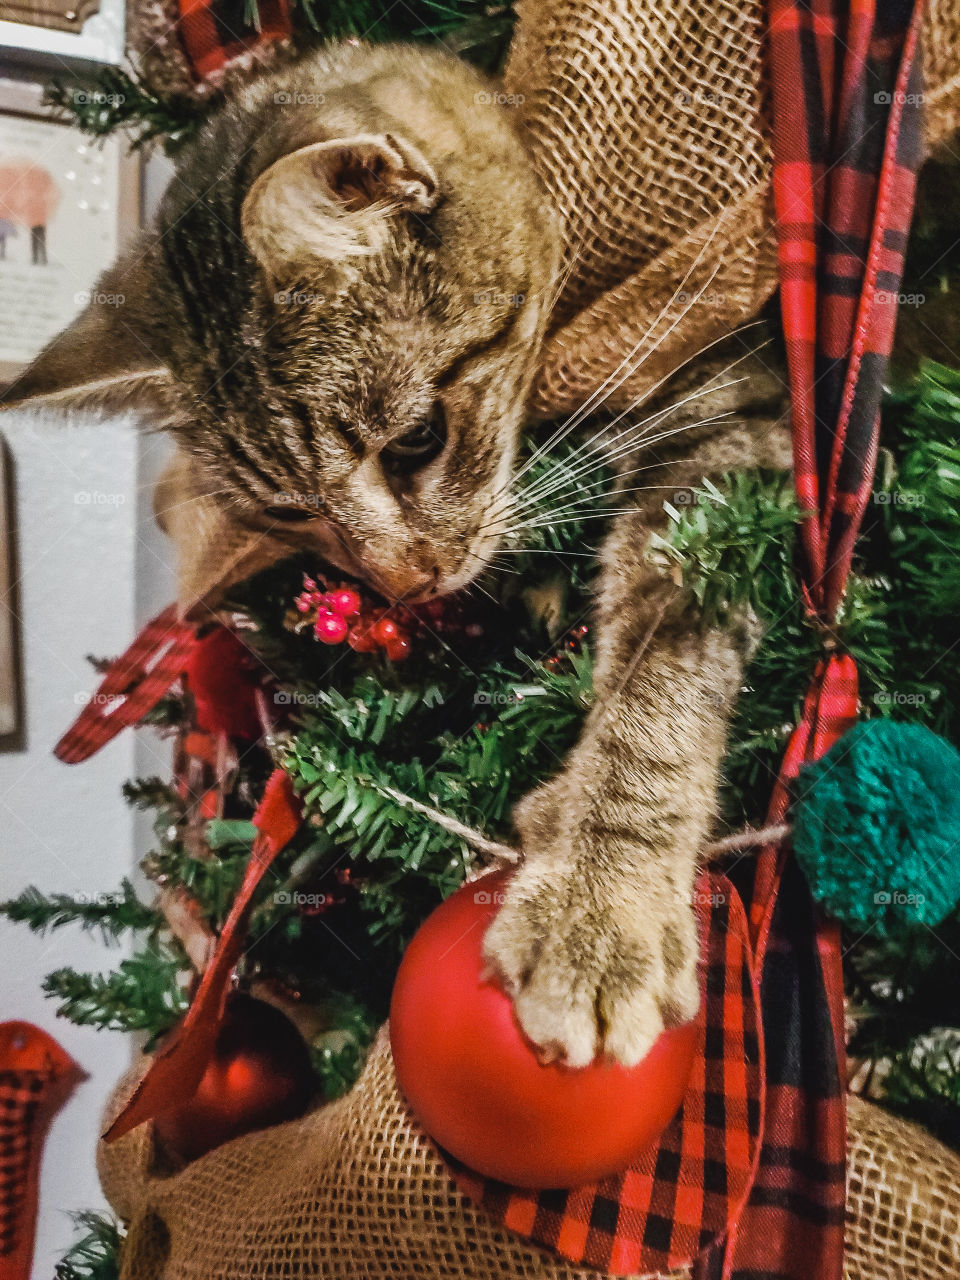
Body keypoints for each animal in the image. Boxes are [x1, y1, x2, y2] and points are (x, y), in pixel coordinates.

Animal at [3, 42, 793, 1070]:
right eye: (290, 509)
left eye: (417, 439)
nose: (405, 584)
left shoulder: (726, 407)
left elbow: (655, 689)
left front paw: (599, 895)